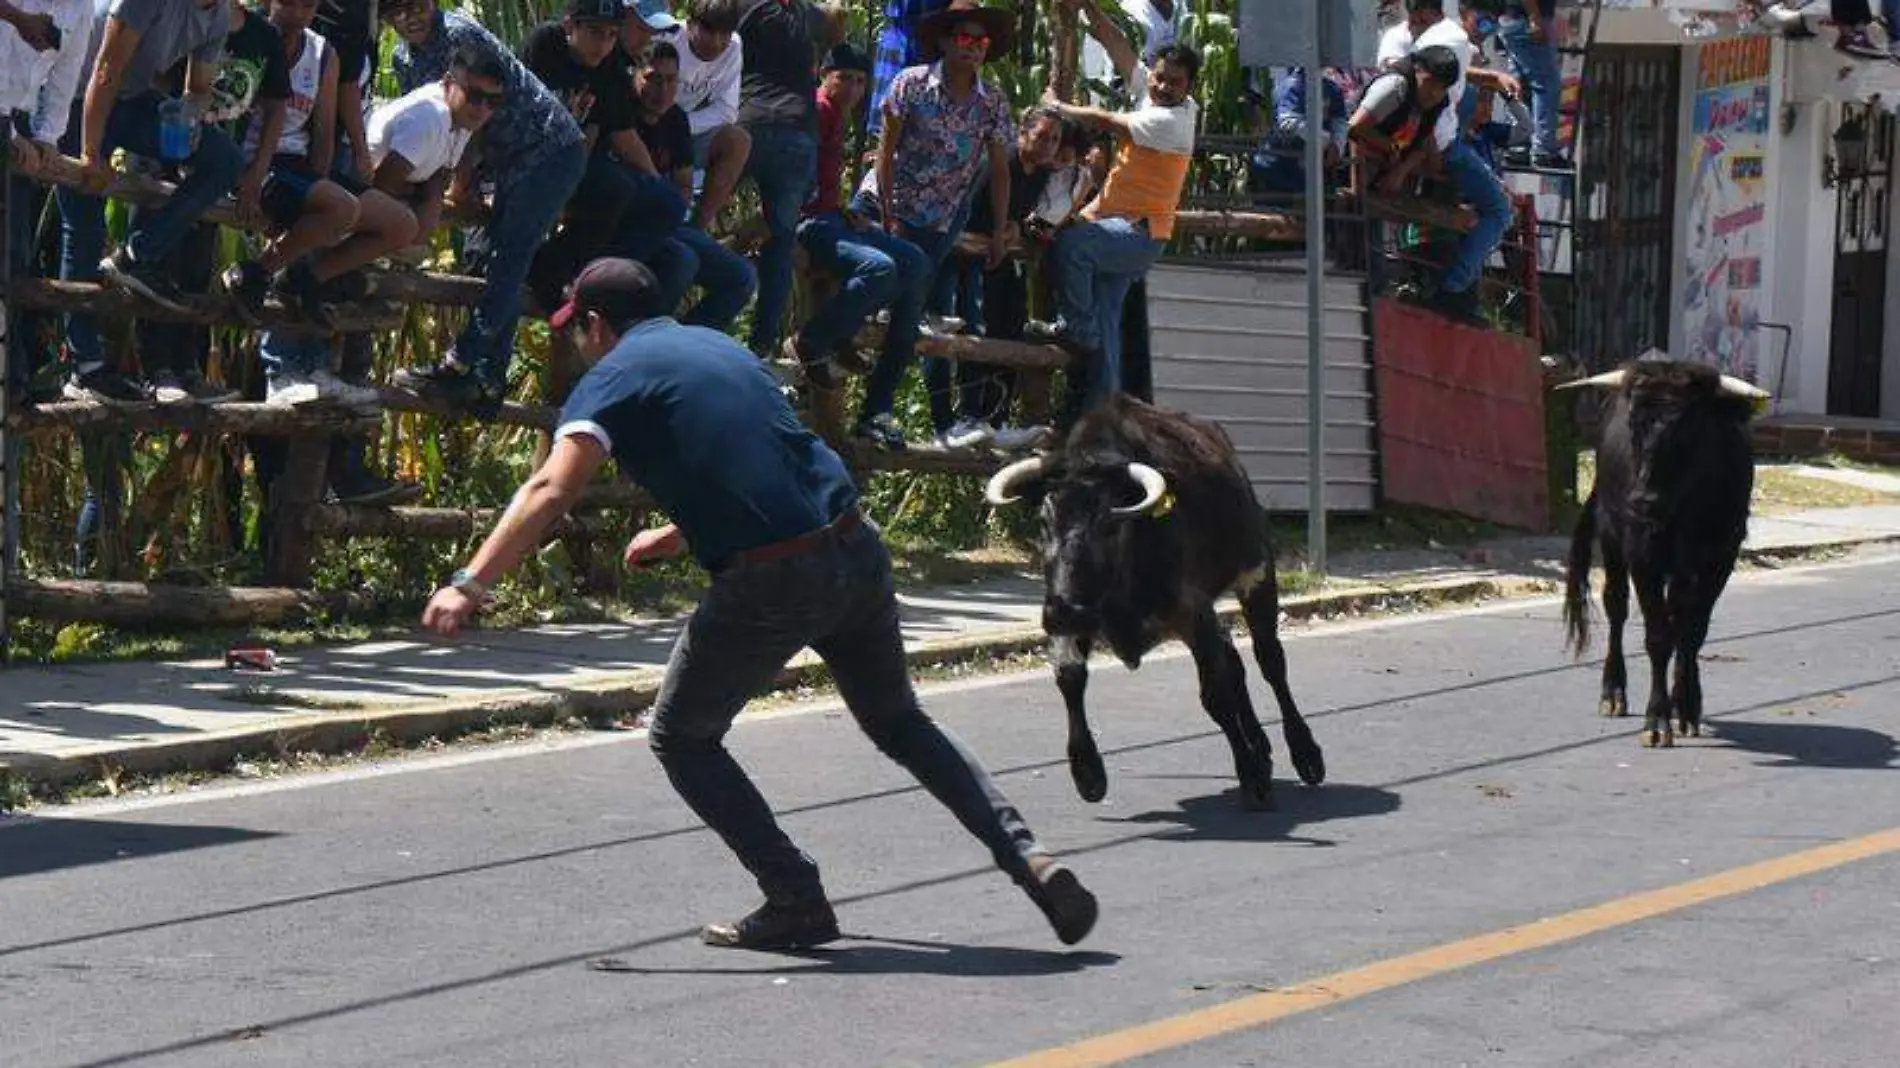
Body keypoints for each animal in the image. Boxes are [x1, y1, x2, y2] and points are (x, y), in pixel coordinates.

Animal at [988, 393, 1330, 805]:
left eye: (1109, 524)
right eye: (1044, 521)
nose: (1061, 612)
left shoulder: (1193, 612)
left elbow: (1215, 695)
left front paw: (1250, 776)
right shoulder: (1077, 615)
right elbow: (1069, 676)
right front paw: (1087, 772)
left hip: (1257, 575)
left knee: (1270, 662)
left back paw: (1305, 754)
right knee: (1234, 660)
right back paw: (1261, 747)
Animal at [1558, 357, 1763, 748]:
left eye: (1690, 427)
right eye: (1634, 424)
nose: (1643, 500)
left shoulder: (1721, 557)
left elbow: (1692, 631)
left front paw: (1687, 706)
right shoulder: (1643, 555)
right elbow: (1658, 637)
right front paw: (1657, 720)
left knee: (1679, 615)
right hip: (1611, 536)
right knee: (1617, 607)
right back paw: (1613, 693)